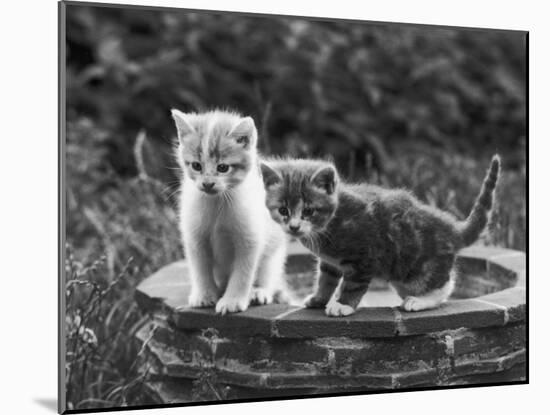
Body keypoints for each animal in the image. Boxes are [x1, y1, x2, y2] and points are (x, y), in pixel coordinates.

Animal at [171, 109, 288, 314]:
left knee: (270, 274)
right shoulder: (195, 236)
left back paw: (259, 292)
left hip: (274, 252)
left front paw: (233, 301)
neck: (217, 202)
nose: (207, 184)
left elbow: (243, 272)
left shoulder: (250, 238)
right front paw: (204, 295)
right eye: (196, 166)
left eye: (223, 168)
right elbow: (200, 268)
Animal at [260, 157, 502, 318]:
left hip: (416, 269)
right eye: (283, 210)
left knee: (444, 286)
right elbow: (325, 280)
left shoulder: (365, 255)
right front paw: (319, 299)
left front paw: (342, 305)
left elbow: (353, 284)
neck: (330, 222)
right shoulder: (330, 262)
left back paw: (420, 301)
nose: (293, 227)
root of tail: (451, 227)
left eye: (309, 211)